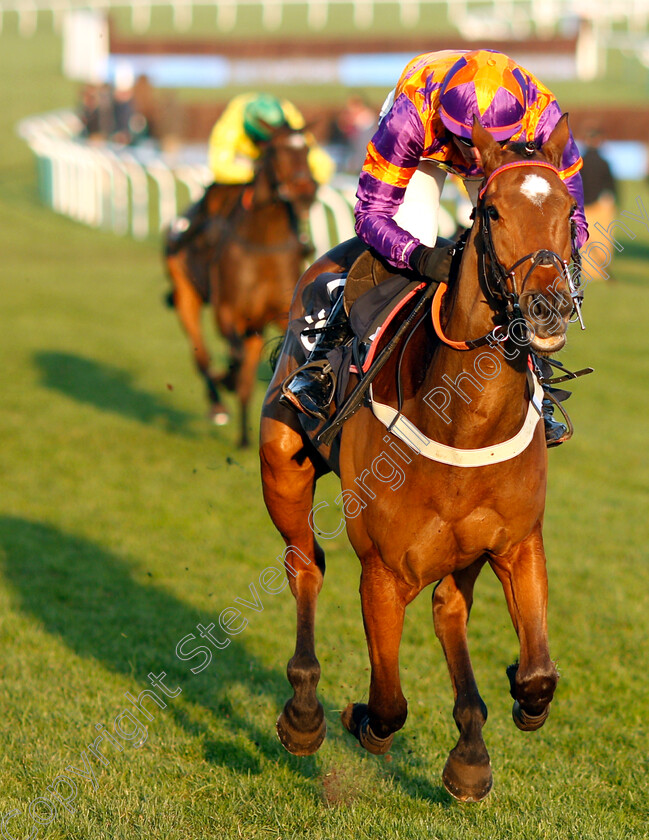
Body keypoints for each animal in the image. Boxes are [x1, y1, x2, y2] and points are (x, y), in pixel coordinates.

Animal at [165, 126, 316, 446]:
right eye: (276, 151)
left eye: (307, 150)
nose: (305, 191)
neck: (264, 243)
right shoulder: (227, 312)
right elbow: (233, 357)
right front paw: (226, 380)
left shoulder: (279, 316)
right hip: (185, 295)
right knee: (202, 355)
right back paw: (218, 404)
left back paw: (245, 435)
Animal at [258, 115, 576, 796]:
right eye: (491, 211)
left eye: (568, 210)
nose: (549, 307)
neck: (463, 420)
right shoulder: (383, 570)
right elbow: (387, 704)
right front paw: (351, 719)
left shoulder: (517, 543)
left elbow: (539, 674)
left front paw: (515, 704)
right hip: (282, 466)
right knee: (305, 565)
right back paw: (303, 711)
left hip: (463, 556)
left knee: (449, 608)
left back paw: (471, 749)